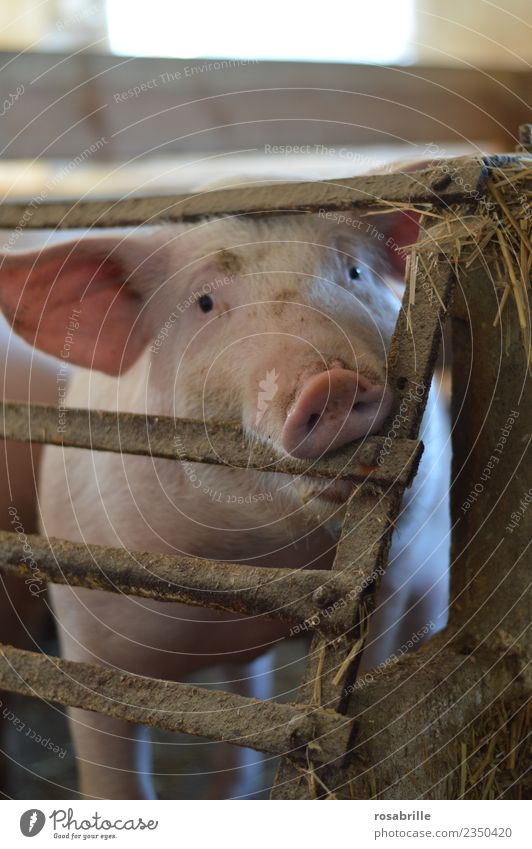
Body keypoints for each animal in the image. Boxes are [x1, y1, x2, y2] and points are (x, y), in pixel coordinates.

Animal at [0, 189, 450, 800]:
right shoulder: (85, 638)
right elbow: (111, 777)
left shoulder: (385, 598)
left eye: (353, 271)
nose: (333, 382)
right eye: (205, 302)